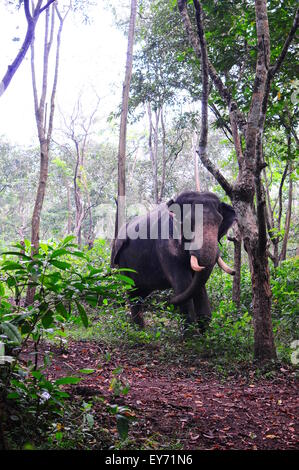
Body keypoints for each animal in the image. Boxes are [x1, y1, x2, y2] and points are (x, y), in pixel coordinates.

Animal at [112, 191, 237, 330]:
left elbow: (198, 285)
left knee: (140, 294)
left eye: (219, 221)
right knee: (132, 293)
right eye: (188, 222)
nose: (170, 301)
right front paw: (192, 334)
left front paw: (205, 331)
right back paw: (138, 331)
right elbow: (183, 285)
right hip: (123, 264)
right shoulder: (165, 246)